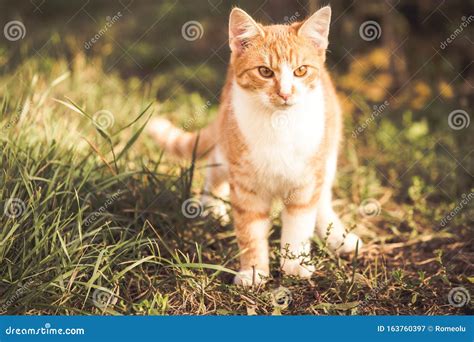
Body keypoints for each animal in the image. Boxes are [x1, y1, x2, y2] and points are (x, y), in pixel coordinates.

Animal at [148, 6, 362, 288]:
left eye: (301, 71)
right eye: (265, 72)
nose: (285, 93)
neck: (280, 125)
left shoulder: (305, 183)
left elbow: (300, 225)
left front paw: (294, 264)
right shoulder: (246, 187)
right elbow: (250, 232)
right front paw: (253, 271)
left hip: (327, 157)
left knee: (323, 197)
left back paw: (338, 236)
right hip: (226, 148)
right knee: (214, 168)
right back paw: (211, 207)